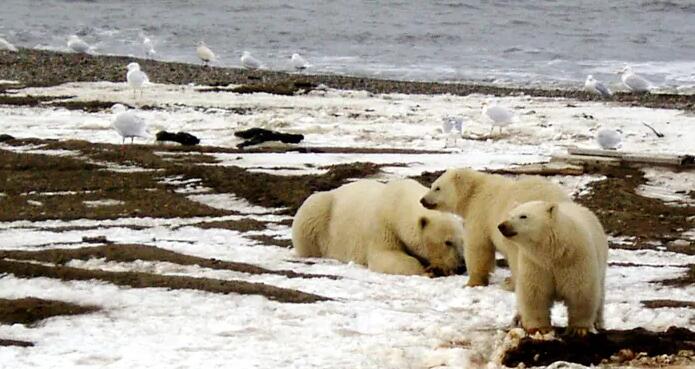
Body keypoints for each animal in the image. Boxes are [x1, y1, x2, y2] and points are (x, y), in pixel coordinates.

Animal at [290, 178, 464, 276]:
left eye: (462, 242)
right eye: (447, 242)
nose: (461, 266)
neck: (398, 203)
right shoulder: (383, 227)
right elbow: (386, 255)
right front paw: (428, 270)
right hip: (318, 214)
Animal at [418, 167, 572, 288]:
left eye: (437, 188)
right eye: (432, 185)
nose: (422, 200)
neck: (474, 191)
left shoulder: (481, 213)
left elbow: (478, 247)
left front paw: (472, 282)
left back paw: (511, 284)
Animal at [498, 200, 608, 334]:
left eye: (523, 216)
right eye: (509, 215)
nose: (502, 225)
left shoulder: (576, 259)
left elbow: (580, 291)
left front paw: (579, 328)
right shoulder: (535, 264)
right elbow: (535, 292)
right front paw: (539, 329)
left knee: (600, 294)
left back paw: (598, 323)